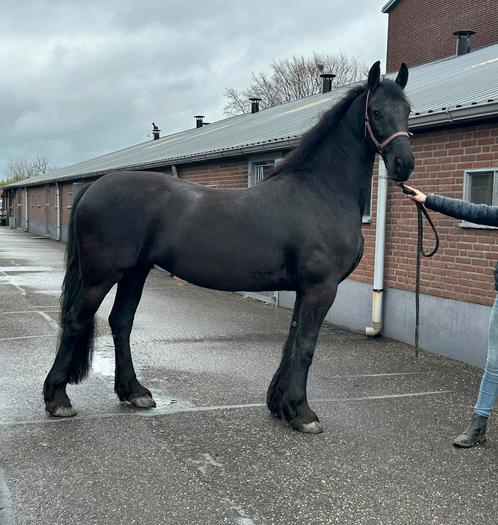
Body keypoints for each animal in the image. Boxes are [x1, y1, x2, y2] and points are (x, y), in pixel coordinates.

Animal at [44, 61, 414, 432]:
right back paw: (58, 399)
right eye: (376, 111)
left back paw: (134, 392)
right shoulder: (320, 288)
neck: (320, 192)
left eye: (407, 110)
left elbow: (292, 342)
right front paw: (303, 412)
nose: (404, 164)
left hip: (135, 271)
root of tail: (94, 186)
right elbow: (307, 346)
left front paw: (281, 406)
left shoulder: (305, 290)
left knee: (121, 322)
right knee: (76, 320)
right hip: (101, 275)